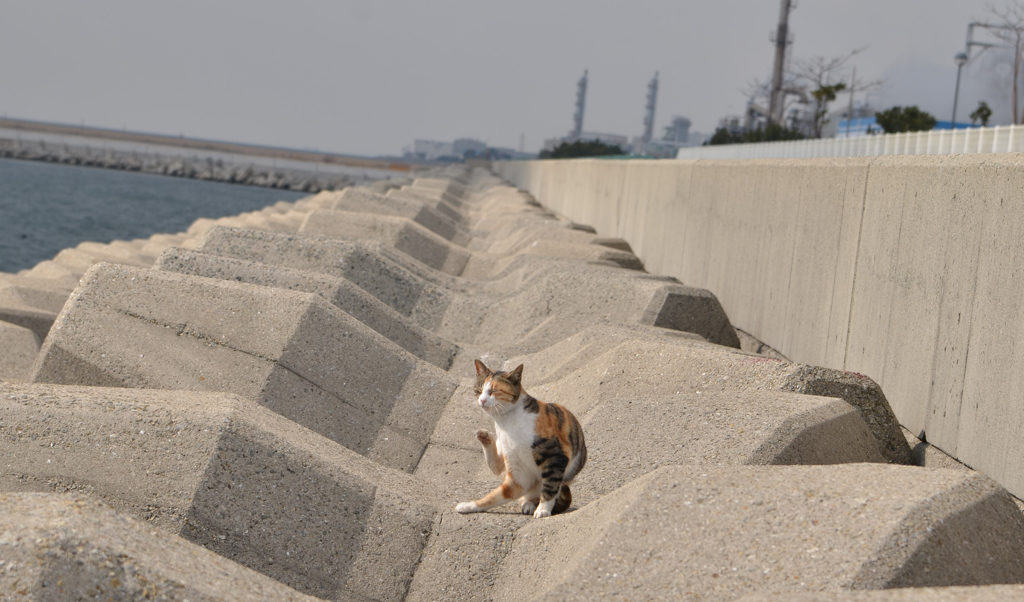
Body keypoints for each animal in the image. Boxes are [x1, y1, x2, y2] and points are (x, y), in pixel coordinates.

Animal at [454, 360, 585, 520]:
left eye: (493, 391)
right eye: (478, 390)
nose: (482, 400)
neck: (506, 422)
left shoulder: (555, 456)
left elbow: (550, 487)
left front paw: (543, 510)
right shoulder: (518, 471)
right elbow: (494, 496)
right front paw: (468, 505)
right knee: (496, 466)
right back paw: (485, 437)